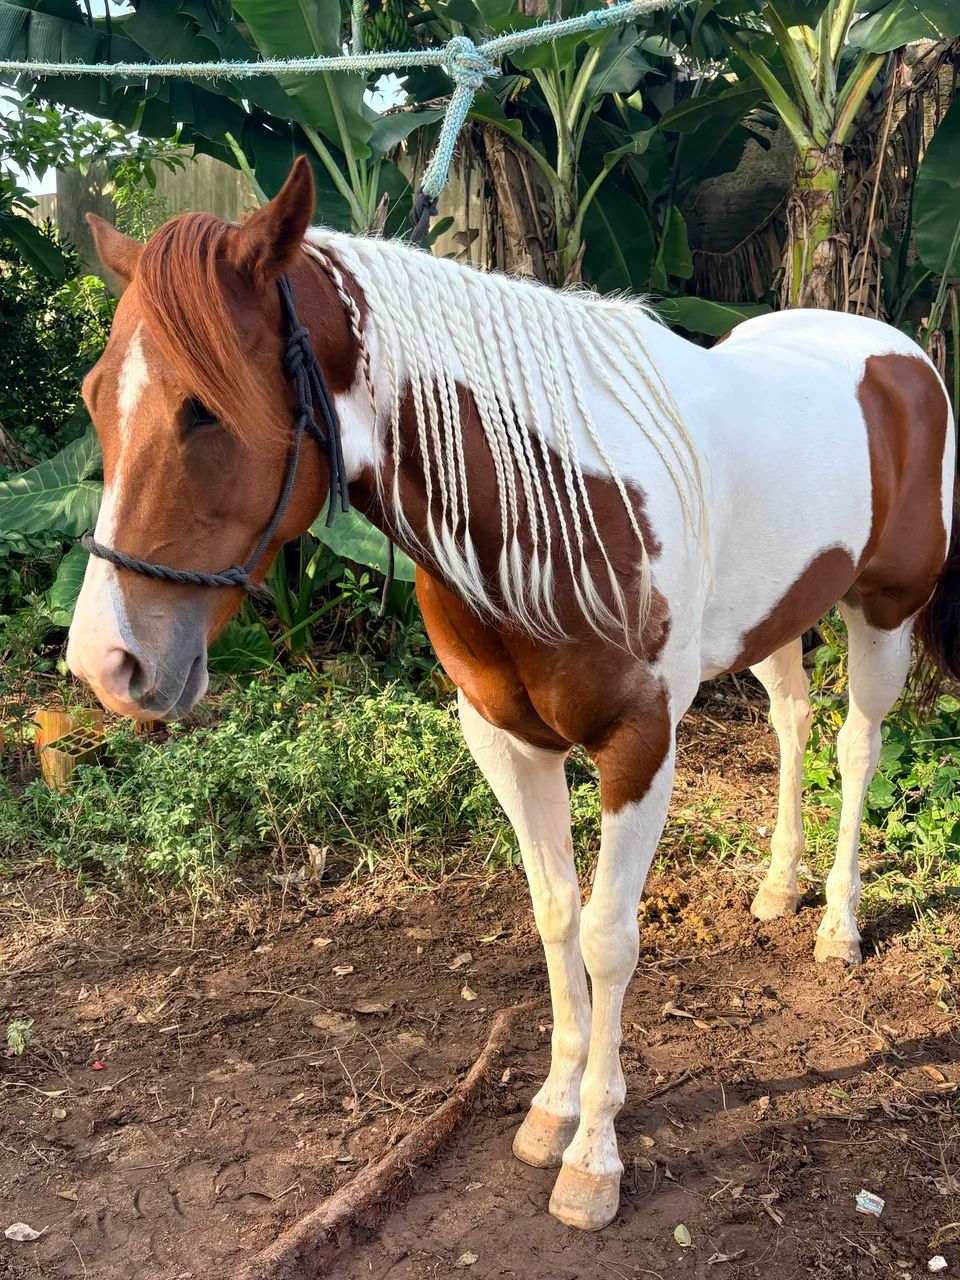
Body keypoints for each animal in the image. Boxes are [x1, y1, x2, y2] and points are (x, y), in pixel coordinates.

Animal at [66, 157, 959, 1232]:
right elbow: (553, 912)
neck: (548, 502)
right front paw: (550, 1109)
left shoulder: (638, 744)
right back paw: (780, 887)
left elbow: (610, 938)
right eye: (95, 396)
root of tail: (899, 356)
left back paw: (836, 923)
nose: (104, 663)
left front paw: (596, 1157)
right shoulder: (507, 738)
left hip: (885, 612)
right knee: (790, 718)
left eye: (204, 408)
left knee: (856, 744)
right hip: (779, 615)